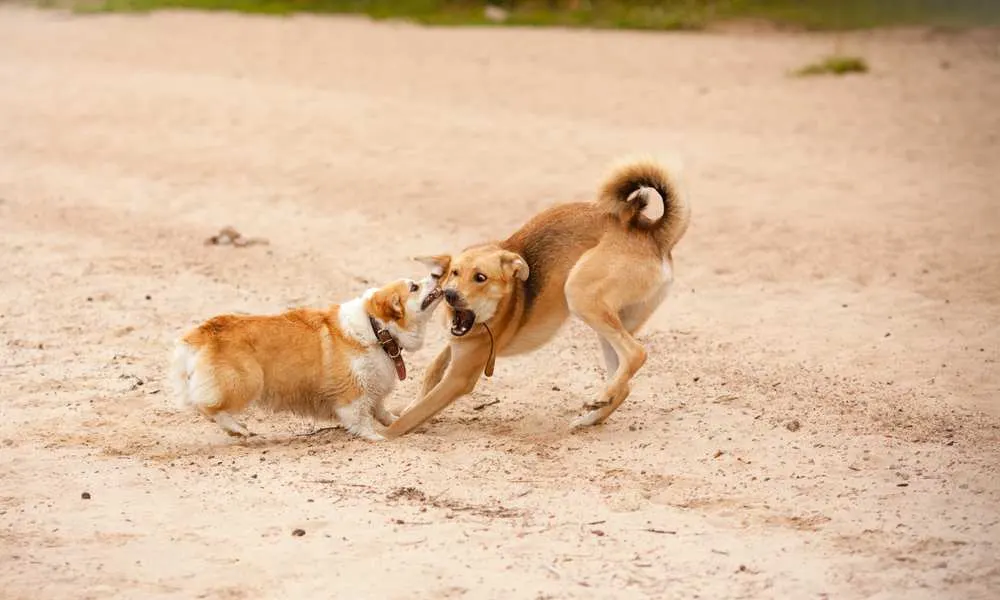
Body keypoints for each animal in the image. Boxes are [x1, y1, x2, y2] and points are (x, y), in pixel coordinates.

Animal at [171, 276, 442, 440]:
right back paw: (239, 429)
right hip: (247, 382)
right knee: (208, 407)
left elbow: (380, 409)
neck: (376, 328)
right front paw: (375, 436)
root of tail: (203, 332)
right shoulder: (352, 391)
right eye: (414, 287)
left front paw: (396, 421)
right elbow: (360, 418)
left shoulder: (373, 385)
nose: (435, 276)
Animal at [386, 157, 692, 436]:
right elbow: (431, 372)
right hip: (610, 322)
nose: (449, 294)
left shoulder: (461, 376)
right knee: (625, 382)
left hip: (579, 294)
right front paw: (407, 405)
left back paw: (601, 398)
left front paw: (382, 433)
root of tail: (653, 234)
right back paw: (592, 414)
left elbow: (411, 416)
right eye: (454, 273)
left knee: (636, 353)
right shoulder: (457, 345)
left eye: (480, 278)